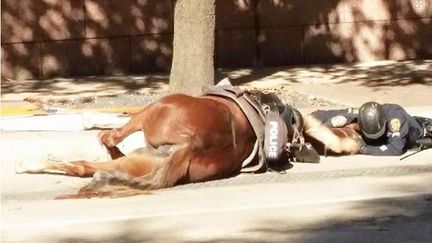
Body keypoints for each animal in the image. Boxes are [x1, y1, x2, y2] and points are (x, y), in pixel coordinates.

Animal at [16, 86, 362, 198]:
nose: (359, 141)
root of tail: (189, 145)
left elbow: (106, 132)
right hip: (139, 158)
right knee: (86, 166)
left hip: (151, 111)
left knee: (104, 142)